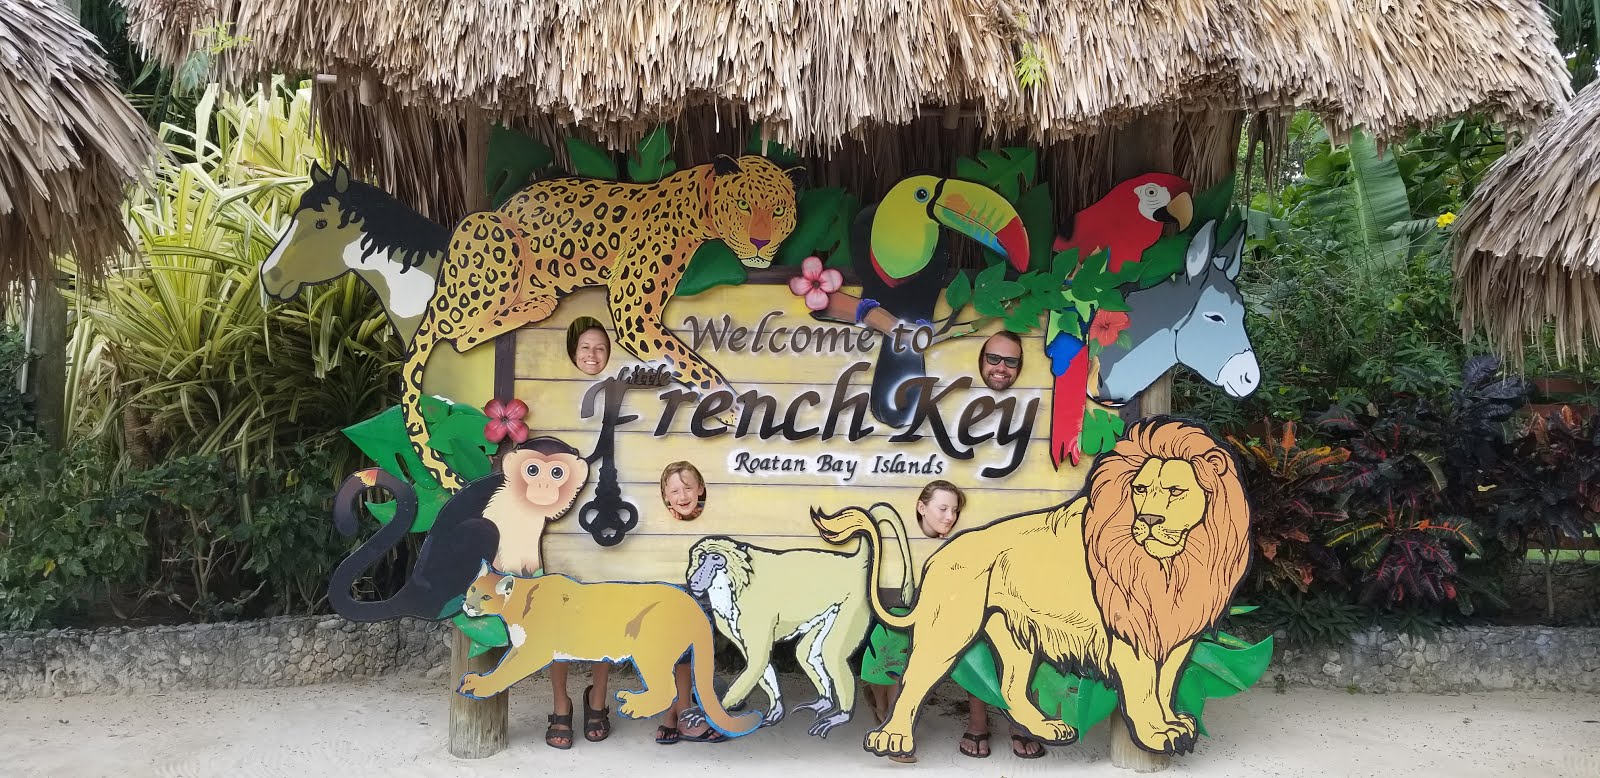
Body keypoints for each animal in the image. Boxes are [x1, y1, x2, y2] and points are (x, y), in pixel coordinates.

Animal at [327, 436, 590, 622]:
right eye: (532, 470)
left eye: (556, 472)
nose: (543, 485)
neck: (520, 499)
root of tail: (411, 592)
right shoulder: (501, 503)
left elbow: (530, 558)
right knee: (482, 529)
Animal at [455, 564, 764, 739]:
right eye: (471, 588)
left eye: (485, 596)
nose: (467, 605)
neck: (516, 604)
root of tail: (692, 604)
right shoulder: (523, 647)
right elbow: (504, 666)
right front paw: (477, 680)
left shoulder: (534, 650)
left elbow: (505, 673)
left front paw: (479, 686)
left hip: (649, 649)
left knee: (669, 690)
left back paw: (635, 705)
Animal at [683, 507, 913, 737]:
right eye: (702, 558)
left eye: (716, 558)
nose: (696, 578)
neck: (736, 582)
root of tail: (853, 562)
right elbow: (760, 663)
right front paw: (776, 709)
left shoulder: (753, 612)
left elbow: (757, 662)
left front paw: (707, 713)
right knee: (806, 653)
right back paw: (824, 702)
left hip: (852, 604)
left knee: (831, 654)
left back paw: (842, 715)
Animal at [813, 417, 1250, 758]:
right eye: (1140, 490)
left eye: (1176, 491)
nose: (1148, 521)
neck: (1174, 566)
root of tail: (938, 557)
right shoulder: (1130, 634)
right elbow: (1144, 689)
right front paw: (1157, 733)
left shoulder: (1175, 632)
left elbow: (1166, 683)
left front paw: (1174, 723)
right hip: (949, 628)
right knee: (914, 679)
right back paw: (892, 738)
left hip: (1012, 633)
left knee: (1009, 688)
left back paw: (1045, 729)